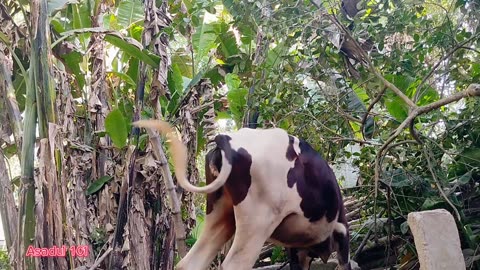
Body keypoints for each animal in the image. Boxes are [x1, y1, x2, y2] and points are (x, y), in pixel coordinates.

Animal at [135, 120, 352, 270]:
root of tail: (227, 139)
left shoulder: (298, 250)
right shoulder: (341, 234)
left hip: (221, 213)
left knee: (189, 264)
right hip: (257, 222)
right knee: (234, 265)